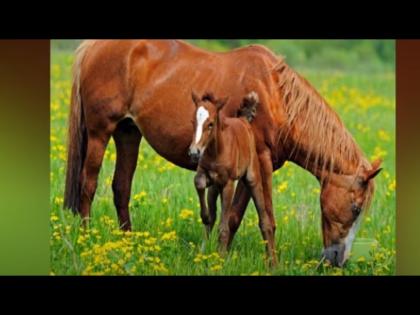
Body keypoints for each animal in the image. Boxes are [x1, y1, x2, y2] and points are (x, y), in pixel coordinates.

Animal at [189, 92, 276, 266]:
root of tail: (243, 120)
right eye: (193, 122)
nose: (194, 152)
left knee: (264, 220)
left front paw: (221, 258)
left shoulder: (228, 183)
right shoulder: (207, 176)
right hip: (214, 189)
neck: (216, 151)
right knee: (213, 216)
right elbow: (198, 182)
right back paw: (204, 249)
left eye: (210, 124)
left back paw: (272, 263)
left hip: (252, 178)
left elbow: (224, 227)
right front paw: (204, 216)